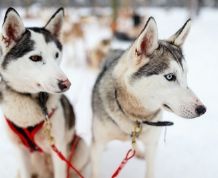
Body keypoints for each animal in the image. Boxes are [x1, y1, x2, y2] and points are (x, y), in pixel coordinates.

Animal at [0, 7, 88, 178]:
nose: (66, 84)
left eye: (56, 55)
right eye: (35, 58)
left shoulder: (58, 150)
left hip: (80, 147)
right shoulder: (21, 152)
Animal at [91, 17, 207, 178]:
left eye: (185, 75)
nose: (202, 109)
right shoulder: (97, 147)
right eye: (170, 77)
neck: (135, 116)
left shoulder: (152, 146)